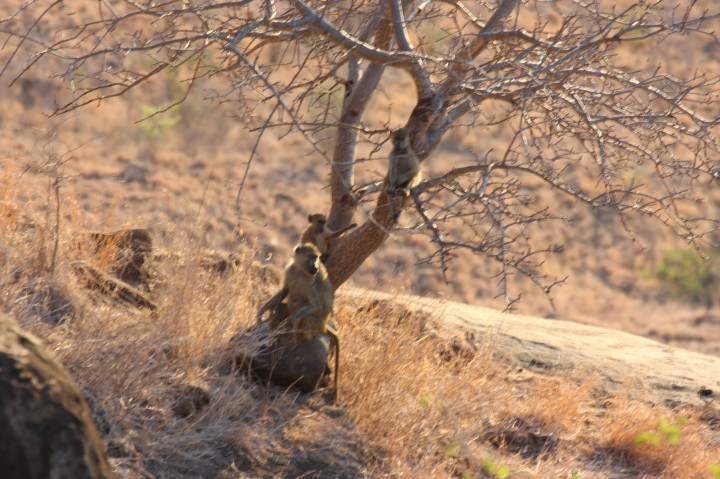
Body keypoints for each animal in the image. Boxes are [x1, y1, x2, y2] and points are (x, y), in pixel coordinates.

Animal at [256, 243, 339, 390]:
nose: (316, 266)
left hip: (316, 324)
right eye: (311, 257)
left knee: (307, 319)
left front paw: (294, 320)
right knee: (280, 309)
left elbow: (316, 306)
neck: (300, 271)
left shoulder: (314, 280)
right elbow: (285, 292)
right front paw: (263, 310)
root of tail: (324, 325)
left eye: (316, 258)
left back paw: (296, 342)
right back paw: (271, 339)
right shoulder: (290, 270)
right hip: (290, 311)